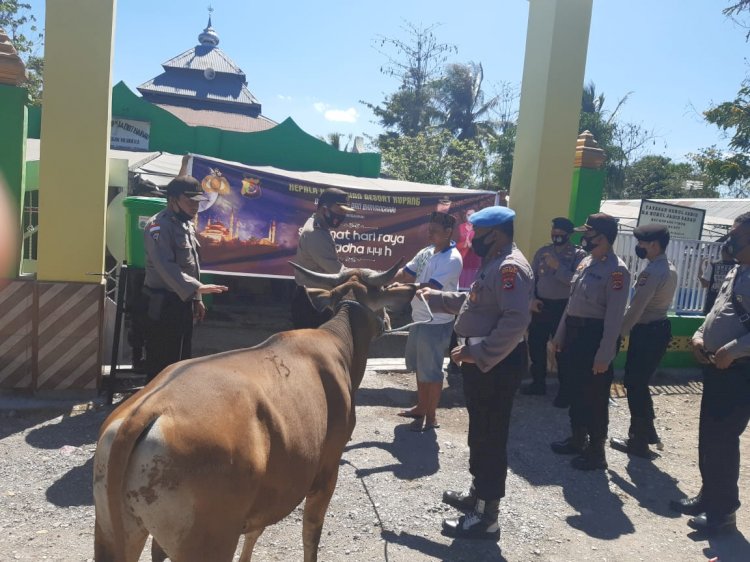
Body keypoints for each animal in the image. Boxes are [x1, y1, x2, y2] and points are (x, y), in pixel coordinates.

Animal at [92, 262, 418, 560]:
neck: (340, 342)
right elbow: (310, 535)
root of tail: (146, 410)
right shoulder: (327, 471)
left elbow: (255, 531)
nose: (391, 320)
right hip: (209, 542)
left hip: (113, 533)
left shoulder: (267, 494)